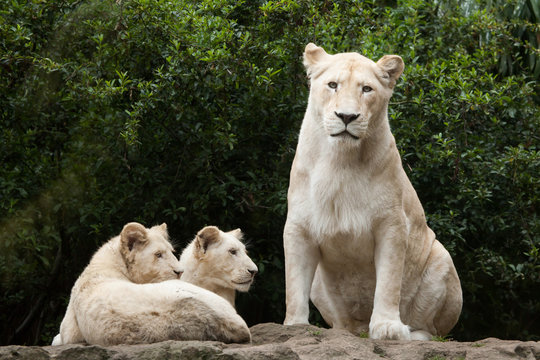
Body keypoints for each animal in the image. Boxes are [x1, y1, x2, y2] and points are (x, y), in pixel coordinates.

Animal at [51, 222, 250, 346]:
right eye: (158, 254)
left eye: (171, 251)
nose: (179, 271)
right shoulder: (69, 331)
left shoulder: (68, 332)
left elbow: (56, 338)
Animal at [282, 44, 464, 340]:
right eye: (332, 85)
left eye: (366, 89)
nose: (346, 117)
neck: (340, 161)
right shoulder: (298, 227)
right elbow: (294, 282)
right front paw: (295, 326)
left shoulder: (392, 225)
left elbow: (388, 282)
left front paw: (387, 327)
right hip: (321, 284)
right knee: (344, 324)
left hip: (442, 259)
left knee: (434, 331)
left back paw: (410, 333)